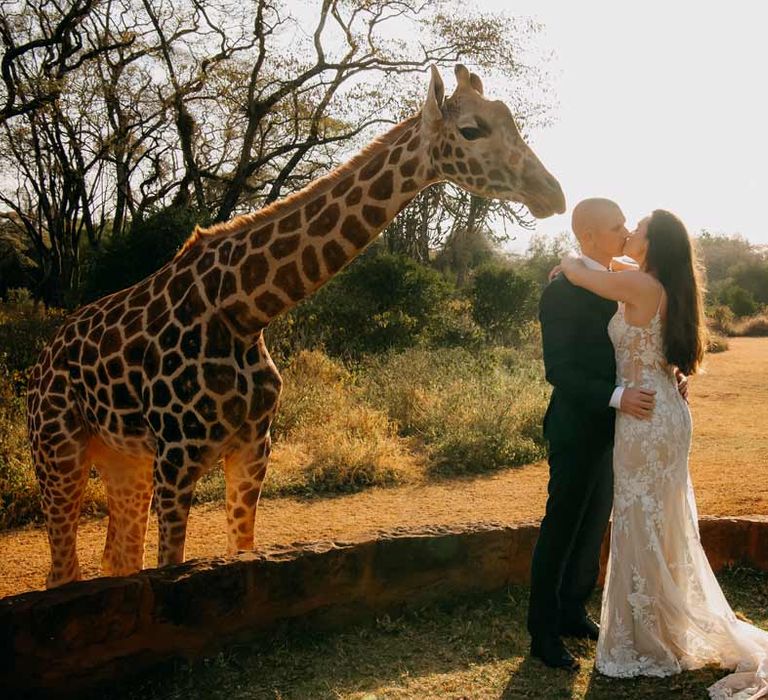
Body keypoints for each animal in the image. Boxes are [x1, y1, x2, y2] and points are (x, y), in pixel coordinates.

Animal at [28, 65, 564, 588]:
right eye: (472, 130)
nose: (553, 193)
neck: (245, 310)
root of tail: (41, 358)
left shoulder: (252, 449)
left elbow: (239, 551)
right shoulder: (177, 458)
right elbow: (169, 567)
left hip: (123, 459)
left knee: (115, 558)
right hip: (57, 453)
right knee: (63, 570)